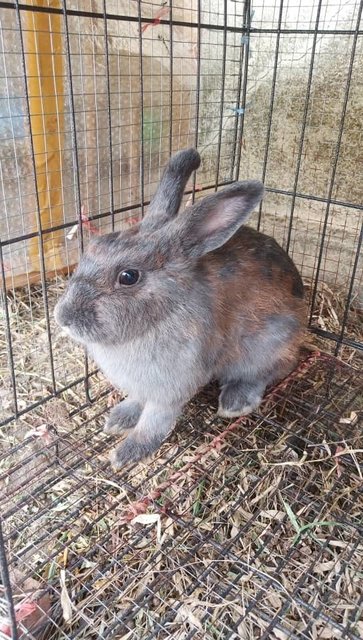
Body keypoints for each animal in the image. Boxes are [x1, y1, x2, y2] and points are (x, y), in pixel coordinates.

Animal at [54, 150, 308, 470]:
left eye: (128, 276)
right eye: (93, 247)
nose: (62, 317)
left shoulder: (170, 388)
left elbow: (154, 422)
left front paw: (127, 454)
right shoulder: (141, 386)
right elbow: (136, 402)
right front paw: (118, 420)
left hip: (267, 344)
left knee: (271, 370)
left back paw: (235, 403)